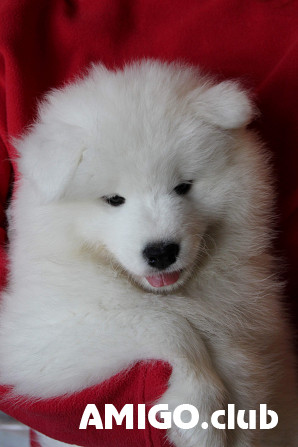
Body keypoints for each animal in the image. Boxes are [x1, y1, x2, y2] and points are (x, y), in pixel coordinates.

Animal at [0, 60, 296, 447]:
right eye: (114, 199)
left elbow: (232, 351)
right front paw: (200, 414)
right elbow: (165, 323)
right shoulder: (36, 333)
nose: (161, 253)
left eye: (183, 187)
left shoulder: (249, 325)